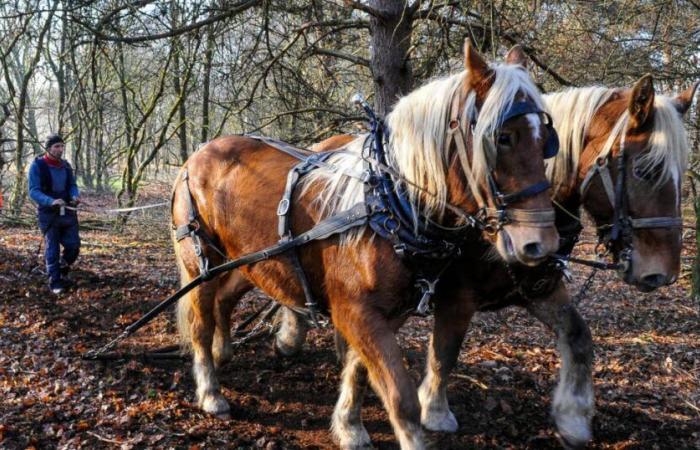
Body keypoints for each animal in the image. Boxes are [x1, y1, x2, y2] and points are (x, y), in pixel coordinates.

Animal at [174, 43, 556, 450]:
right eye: (503, 138)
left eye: (545, 141)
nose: (541, 242)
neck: (389, 205)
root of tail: (198, 155)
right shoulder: (355, 311)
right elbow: (400, 394)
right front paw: (406, 437)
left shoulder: (385, 313)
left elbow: (360, 370)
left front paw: (349, 426)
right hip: (200, 263)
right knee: (200, 322)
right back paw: (210, 391)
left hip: (250, 262)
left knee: (225, 298)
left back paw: (223, 351)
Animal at [270, 75, 696, 444]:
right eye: (645, 169)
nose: (661, 273)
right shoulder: (457, 297)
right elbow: (445, 352)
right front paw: (435, 410)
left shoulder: (538, 288)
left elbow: (577, 337)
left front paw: (572, 418)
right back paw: (293, 336)